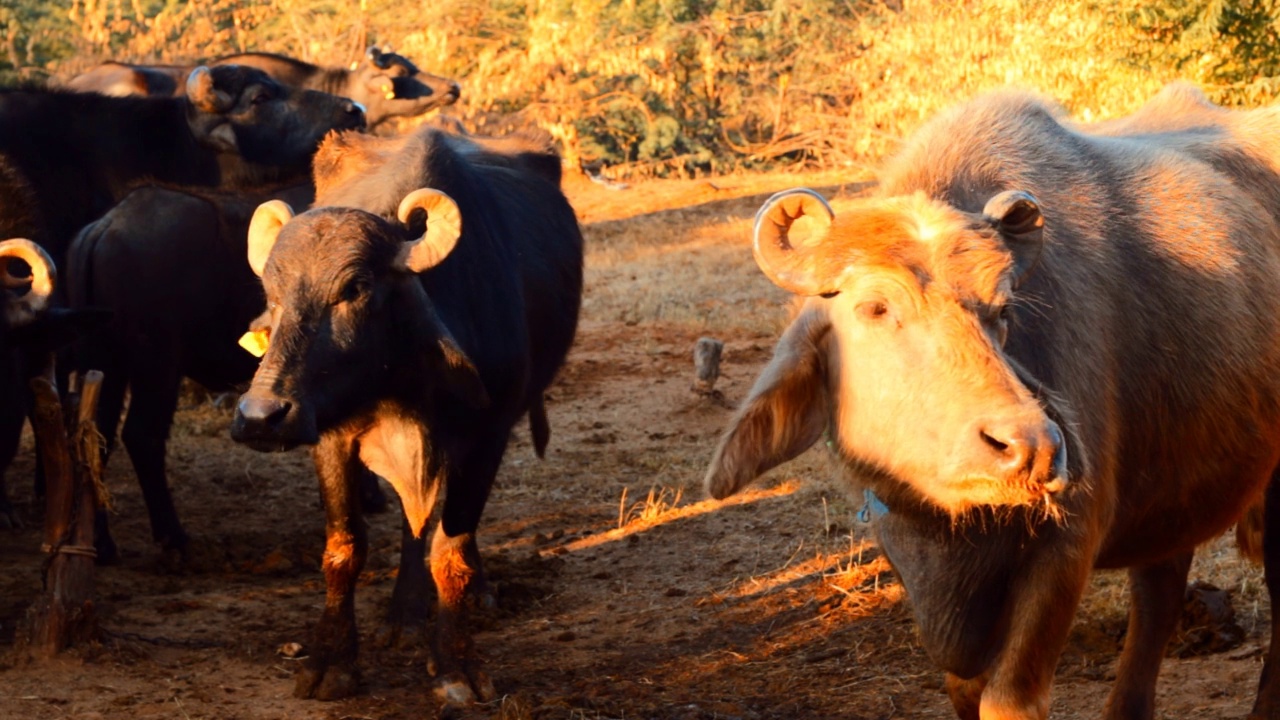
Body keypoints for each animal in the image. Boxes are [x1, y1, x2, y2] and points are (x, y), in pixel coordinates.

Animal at [231, 127, 586, 702]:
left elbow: (451, 552)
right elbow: (344, 548)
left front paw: (457, 666)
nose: (261, 416)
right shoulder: (330, 437)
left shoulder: (486, 437)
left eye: (354, 288)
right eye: (272, 292)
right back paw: (406, 615)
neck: (401, 383)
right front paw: (332, 663)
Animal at [711, 81, 1280, 712]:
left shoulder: (1067, 546)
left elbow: (1008, 699)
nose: (1030, 447)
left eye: (1003, 310)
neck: (951, 531)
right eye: (876, 307)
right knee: (1159, 592)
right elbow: (963, 685)